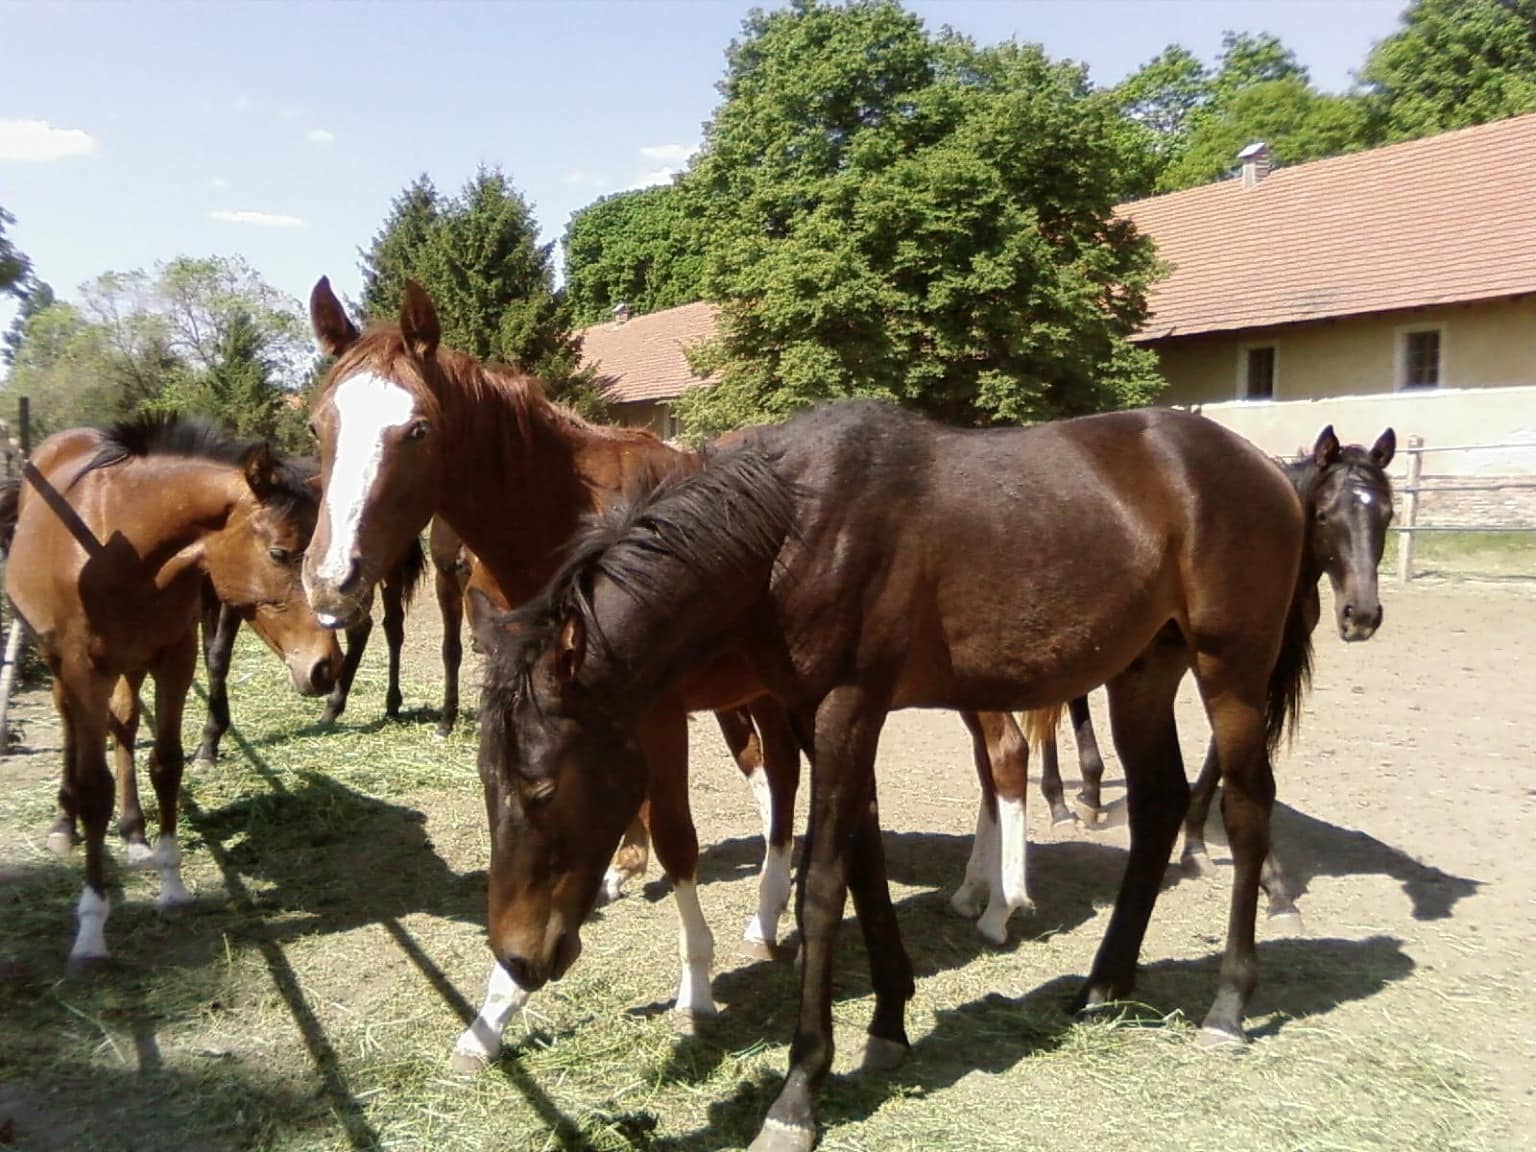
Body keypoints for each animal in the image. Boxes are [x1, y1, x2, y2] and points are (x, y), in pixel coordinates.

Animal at [4, 414, 342, 964]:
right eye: (278, 552)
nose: (324, 668)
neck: (120, 548)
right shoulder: (83, 670)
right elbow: (93, 786)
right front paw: (91, 927)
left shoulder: (174, 660)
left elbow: (165, 764)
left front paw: (171, 883)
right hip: (59, 662)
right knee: (72, 725)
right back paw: (63, 824)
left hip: (130, 666)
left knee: (123, 725)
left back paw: (134, 833)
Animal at [476, 402, 1308, 1152]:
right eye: (489, 783)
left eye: (541, 789)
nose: (517, 957)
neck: (795, 530)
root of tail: (1265, 468)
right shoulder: (812, 714)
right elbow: (863, 868)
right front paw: (888, 1024)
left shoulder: (847, 707)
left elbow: (820, 885)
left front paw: (799, 1094)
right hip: (1143, 670)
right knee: (1159, 805)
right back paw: (1104, 986)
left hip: (1230, 668)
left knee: (1247, 810)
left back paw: (1228, 1005)